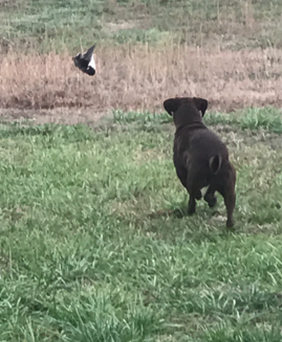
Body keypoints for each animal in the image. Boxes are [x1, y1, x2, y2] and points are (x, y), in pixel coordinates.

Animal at [163, 96, 236, 228]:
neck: (191, 123)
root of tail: (216, 157)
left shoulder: (181, 173)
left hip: (192, 178)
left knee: (194, 196)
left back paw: (190, 210)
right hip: (229, 187)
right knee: (227, 206)